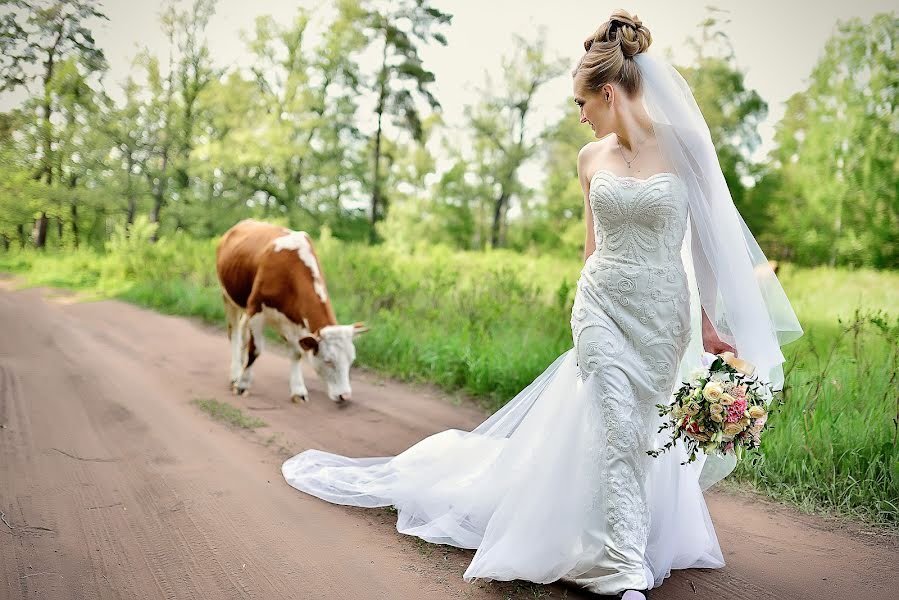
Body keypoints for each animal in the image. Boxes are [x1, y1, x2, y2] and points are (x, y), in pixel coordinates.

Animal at [216, 218, 368, 406]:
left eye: (351, 361)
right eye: (328, 361)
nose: (344, 396)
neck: (289, 272)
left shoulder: (295, 322)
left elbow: (296, 353)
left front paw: (298, 391)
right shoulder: (257, 311)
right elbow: (256, 350)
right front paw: (243, 385)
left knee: (243, 335)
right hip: (229, 298)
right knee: (236, 334)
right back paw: (235, 375)